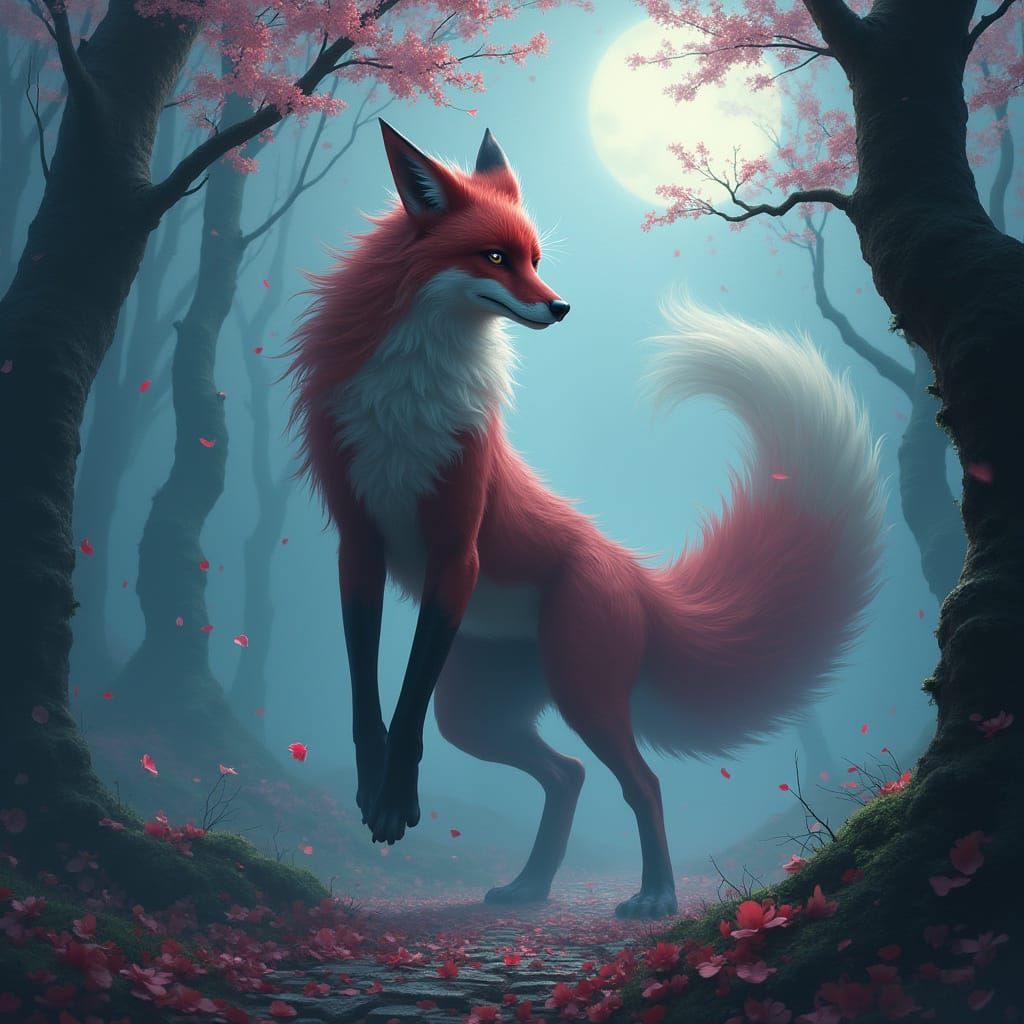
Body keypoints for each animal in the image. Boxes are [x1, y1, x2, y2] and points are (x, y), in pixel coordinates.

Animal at [287, 119, 885, 919]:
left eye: (536, 261)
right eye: (496, 257)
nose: (563, 307)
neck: (407, 402)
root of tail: (635, 573)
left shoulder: (457, 548)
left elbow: (406, 705)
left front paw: (394, 802)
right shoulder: (358, 542)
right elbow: (368, 695)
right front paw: (372, 788)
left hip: (581, 691)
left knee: (642, 783)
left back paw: (656, 896)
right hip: (479, 712)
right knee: (567, 773)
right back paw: (530, 886)